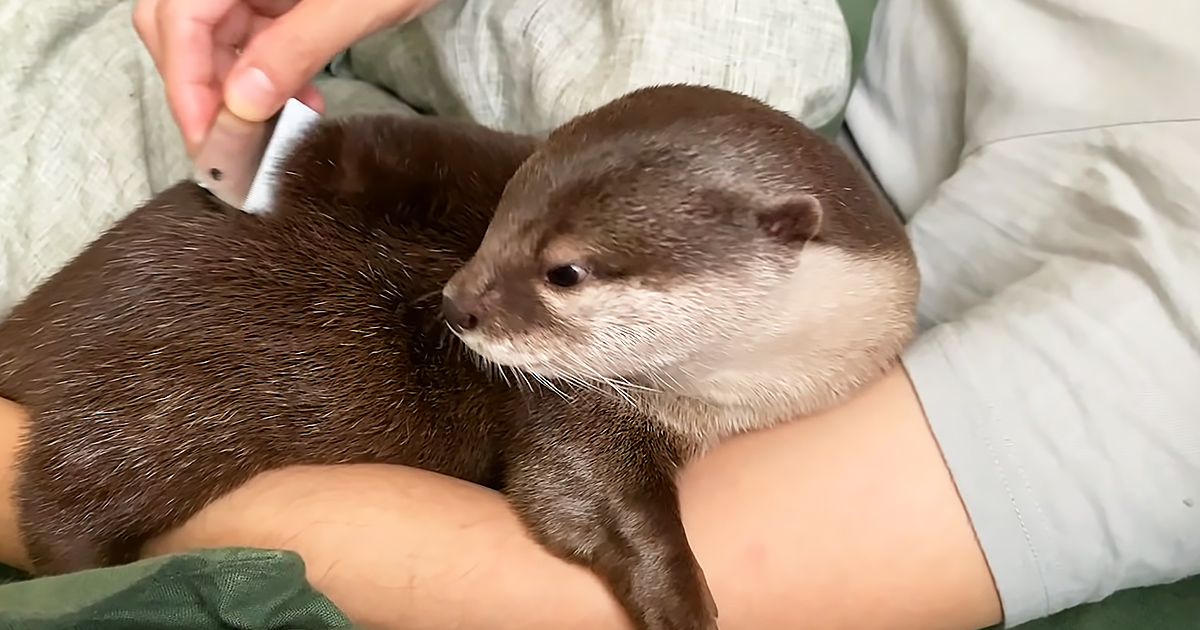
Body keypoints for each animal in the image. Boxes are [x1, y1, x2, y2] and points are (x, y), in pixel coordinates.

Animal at [0, 85, 918, 630]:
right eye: (496, 223)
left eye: (564, 271)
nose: (455, 304)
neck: (743, 396)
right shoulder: (576, 410)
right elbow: (590, 497)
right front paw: (681, 602)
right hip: (145, 412)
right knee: (61, 503)